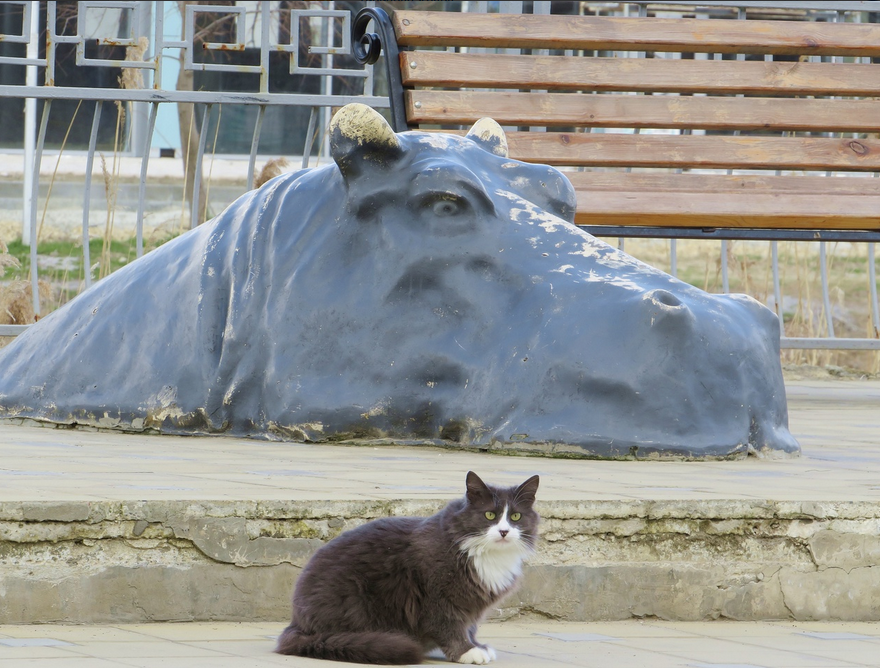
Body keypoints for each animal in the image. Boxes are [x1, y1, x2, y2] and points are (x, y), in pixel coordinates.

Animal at [276, 472, 540, 664]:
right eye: (489, 515)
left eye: (516, 517)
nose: (504, 531)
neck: (487, 555)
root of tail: (295, 624)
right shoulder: (438, 597)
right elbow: (450, 626)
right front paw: (467, 651)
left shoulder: (470, 605)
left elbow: (470, 627)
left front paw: (476, 645)